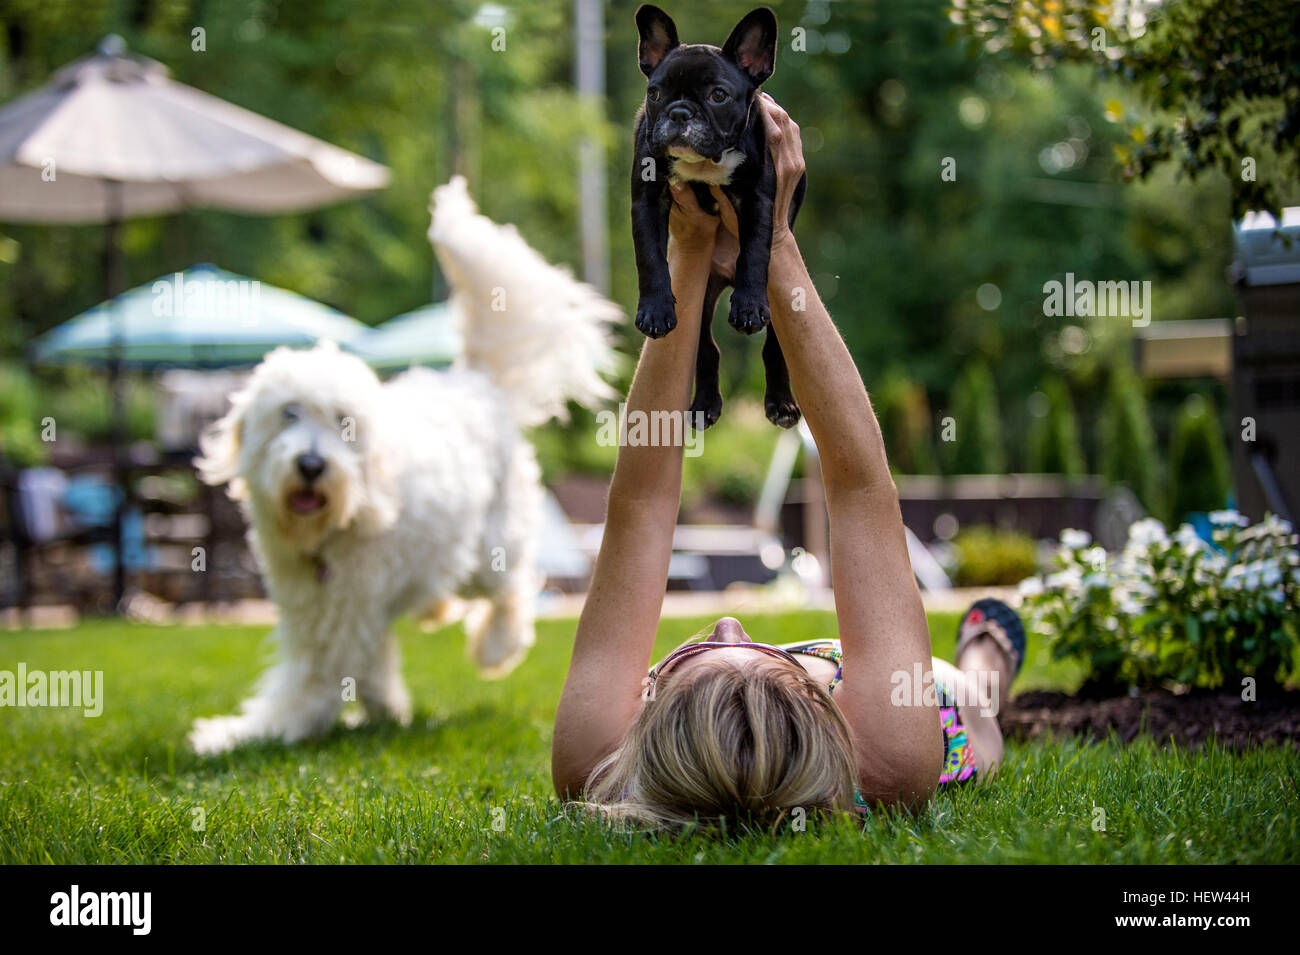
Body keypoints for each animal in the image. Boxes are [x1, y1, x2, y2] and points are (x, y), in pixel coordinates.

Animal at [184, 175, 624, 748]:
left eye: (343, 423)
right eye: (289, 413)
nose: (311, 464)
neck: (333, 531)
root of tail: (474, 381)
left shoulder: (338, 617)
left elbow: (309, 684)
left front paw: (251, 733)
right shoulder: (326, 606)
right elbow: (369, 667)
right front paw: (384, 710)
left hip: (490, 547)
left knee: (514, 589)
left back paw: (495, 647)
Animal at [629, 2, 800, 428]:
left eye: (718, 95)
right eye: (655, 93)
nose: (678, 112)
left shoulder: (758, 199)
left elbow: (755, 252)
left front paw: (748, 305)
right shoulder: (646, 197)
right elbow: (650, 257)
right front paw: (655, 309)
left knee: (776, 345)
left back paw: (781, 403)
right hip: (702, 299)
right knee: (706, 347)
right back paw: (705, 404)